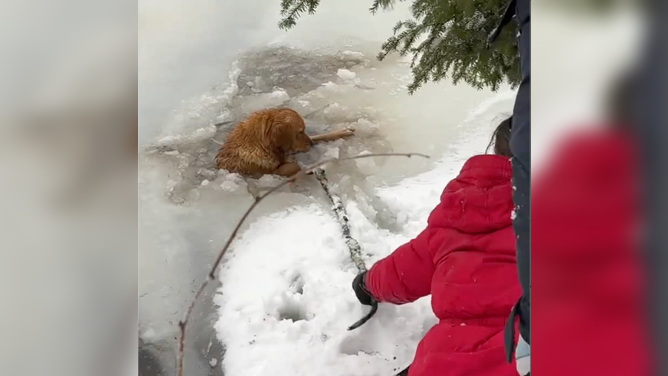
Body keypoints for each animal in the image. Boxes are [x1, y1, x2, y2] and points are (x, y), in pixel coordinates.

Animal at [218, 108, 354, 177]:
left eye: (304, 130)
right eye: (300, 131)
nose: (311, 144)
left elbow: (319, 136)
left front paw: (342, 132)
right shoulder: (270, 172)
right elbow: (293, 166)